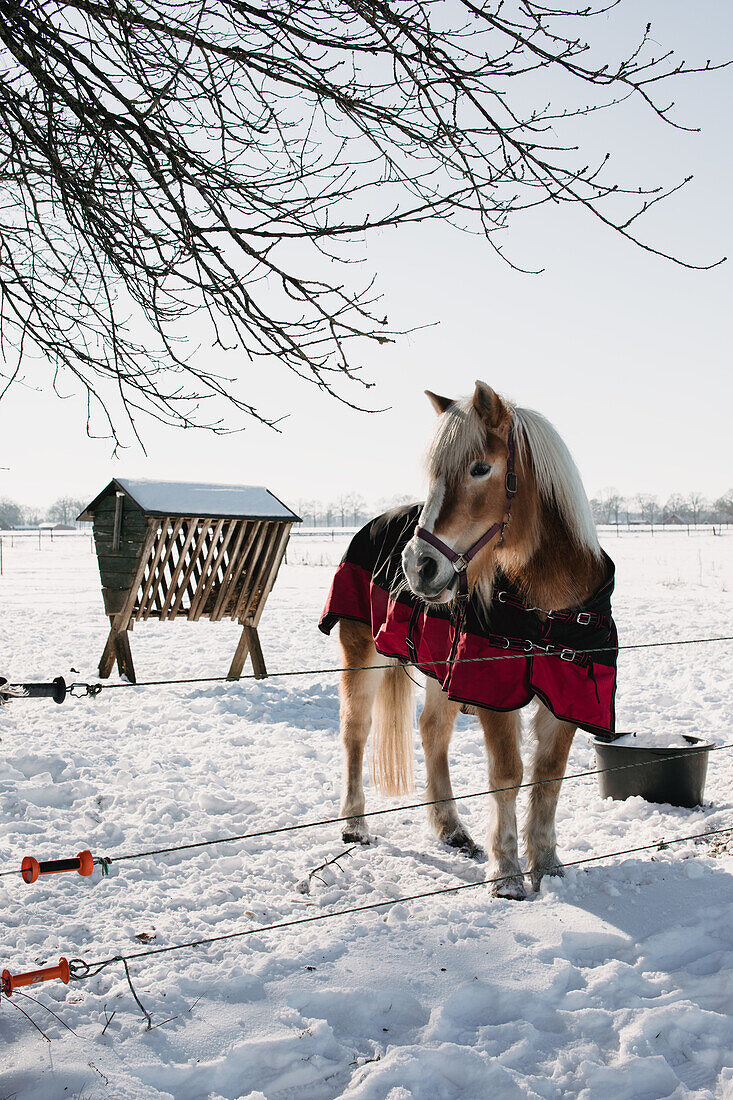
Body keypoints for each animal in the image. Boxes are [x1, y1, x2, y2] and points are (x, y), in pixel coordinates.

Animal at [319, 382, 611, 897]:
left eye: (479, 468)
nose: (417, 565)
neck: (549, 608)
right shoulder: (495, 692)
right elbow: (508, 775)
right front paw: (508, 874)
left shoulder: (566, 698)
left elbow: (548, 777)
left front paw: (547, 865)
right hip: (363, 653)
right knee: (355, 729)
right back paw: (354, 823)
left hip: (443, 671)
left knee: (432, 732)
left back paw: (451, 828)